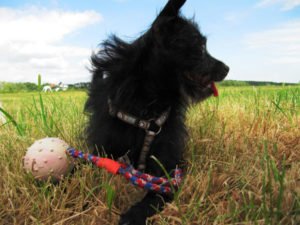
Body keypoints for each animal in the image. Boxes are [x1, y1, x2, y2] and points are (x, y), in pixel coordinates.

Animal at [84, 0, 230, 224]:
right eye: (200, 47)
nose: (227, 68)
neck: (146, 107)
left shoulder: (169, 167)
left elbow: (157, 193)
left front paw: (133, 215)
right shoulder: (101, 151)